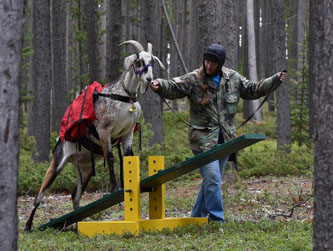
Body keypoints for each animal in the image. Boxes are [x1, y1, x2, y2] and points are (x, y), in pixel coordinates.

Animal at [24, 40, 164, 231]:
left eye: (152, 62)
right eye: (138, 61)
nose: (149, 80)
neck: (123, 96)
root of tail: (61, 141)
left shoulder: (127, 133)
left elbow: (127, 157)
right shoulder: (105, 131)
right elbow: (111, 158)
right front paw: (115, 188)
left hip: (86, 171)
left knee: (75, 195)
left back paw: (78, 224)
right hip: (57, 163)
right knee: (39, 195)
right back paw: (28, 225)